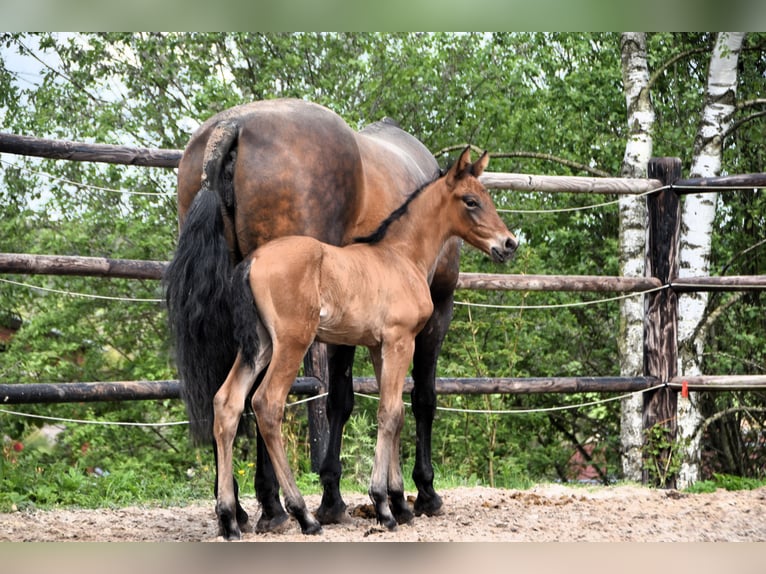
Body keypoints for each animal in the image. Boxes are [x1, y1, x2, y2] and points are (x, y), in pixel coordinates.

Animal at [213, 147, 520, 540]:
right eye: (471, 201)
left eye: (487, 197)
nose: (509, 244)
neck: (402, 257)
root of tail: (252, 260)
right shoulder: (401, 340)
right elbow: (389, 413)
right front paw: (384, 506)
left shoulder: (379, 346)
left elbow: (397, 412)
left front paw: (399, 503)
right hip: (292, 342)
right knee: (267, 404)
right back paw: (303, 515)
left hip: (260, 345)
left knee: (227, 402)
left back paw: (228, 519)